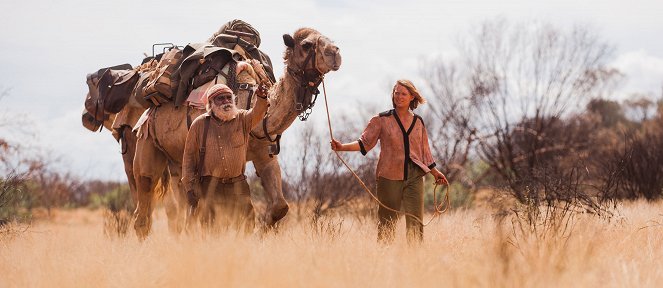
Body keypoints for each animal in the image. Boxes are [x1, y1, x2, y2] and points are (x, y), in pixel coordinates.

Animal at [133, 27, 344, 238]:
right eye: (306, 45)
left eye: (329, 39)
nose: (335, 53)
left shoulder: (264, 155)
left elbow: (280, 206)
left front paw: (261, 232)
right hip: (147, 140)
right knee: (145, 195)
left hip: (177, 162)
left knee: (179, 207)